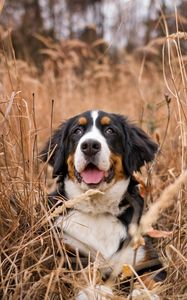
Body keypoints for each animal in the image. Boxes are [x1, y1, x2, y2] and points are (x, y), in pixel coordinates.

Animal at [41, 110, 167, 300]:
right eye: (77, 131)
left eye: (110, 131)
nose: (90, 145)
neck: (98, 209)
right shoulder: (68, 254)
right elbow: (84, 273)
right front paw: (96, 290)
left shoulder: (147, 258)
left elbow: (149, 279)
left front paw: (144, 294)